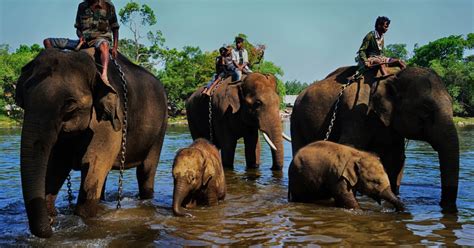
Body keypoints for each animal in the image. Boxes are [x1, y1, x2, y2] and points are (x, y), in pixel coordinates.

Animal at [15, 49, 168, 238]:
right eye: (23, 99)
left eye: (69, 105)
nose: (50, 225)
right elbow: (56, 167)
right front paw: (51, 214)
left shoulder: (110, 123)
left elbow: (94, 165)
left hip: (161, 127)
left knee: (146, 170)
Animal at [288, 66, 460, 213]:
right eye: (425, 109)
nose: (444, 205)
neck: (391, 75)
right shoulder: (355, 111)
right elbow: (349, 145)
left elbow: (397, 159)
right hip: (296, 119)